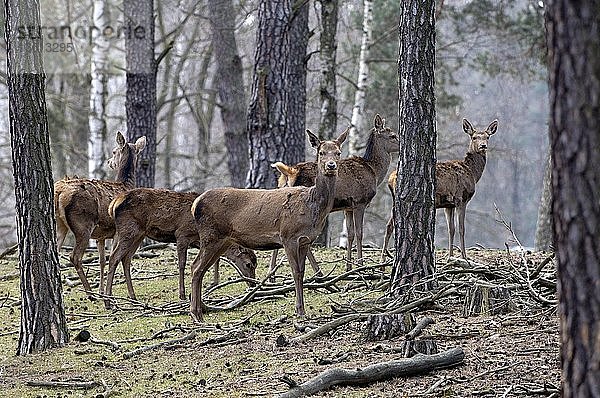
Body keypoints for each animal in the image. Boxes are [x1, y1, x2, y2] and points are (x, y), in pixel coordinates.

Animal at [55, 132, 146, 296]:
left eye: (114, 152)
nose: (109, 161)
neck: (125, 185)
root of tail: (59, 192)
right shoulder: (116, 232)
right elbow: (113, 258)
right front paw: (106, 293)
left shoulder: (101, 236)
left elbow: (102, 260)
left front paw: (102, 290)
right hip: (83, 224)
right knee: (74, 256)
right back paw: (90, 293)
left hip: (60, 223)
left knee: (56, 252)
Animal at [104, 188, 256, 304]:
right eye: (248, 264)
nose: (253, 284)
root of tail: (113, 205)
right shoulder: (182, 234)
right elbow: (182, 264)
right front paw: (182, 294)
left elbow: (214, 260)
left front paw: (212, 284)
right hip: (129, 230)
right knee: (114, 258)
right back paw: (108, 301)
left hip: (138, 234)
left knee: (126, 259)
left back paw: (133, 297)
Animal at [188, 129, 346, 322]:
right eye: (321, 152)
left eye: (338, 152)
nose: (331, 165)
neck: (312, 207)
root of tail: (195, 204)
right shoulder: (288, 236)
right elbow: (296, 272)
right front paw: (300, 310)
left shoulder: (306, 240)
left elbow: (302, 271)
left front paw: (301, 310)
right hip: (211, 235)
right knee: (196, 267)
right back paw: (195, 314)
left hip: (222, 241)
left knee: (201, 269)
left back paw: (198, 313)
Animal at [272, 114, 398, 270]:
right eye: (392, 135)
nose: (401, 144)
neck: (374, 172)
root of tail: (290, 172)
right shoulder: (360, 202)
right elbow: (359, 233)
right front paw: (360, 264)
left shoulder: (348, 207)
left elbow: (349, 234)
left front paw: (349, 266)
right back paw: (316, 270)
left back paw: (272, 272)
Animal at [382, 117, 500, 262]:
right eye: (474, 137)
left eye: (487, 137)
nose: (483, 146)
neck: (472, 173)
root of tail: (390, 179)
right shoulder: (461, 198)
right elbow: (461, 228)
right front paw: (464, 257)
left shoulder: (449, 205)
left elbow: (451, 229)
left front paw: (450, 256)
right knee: (391, 224)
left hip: (395, 201)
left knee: (389, 225)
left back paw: (383, 257)